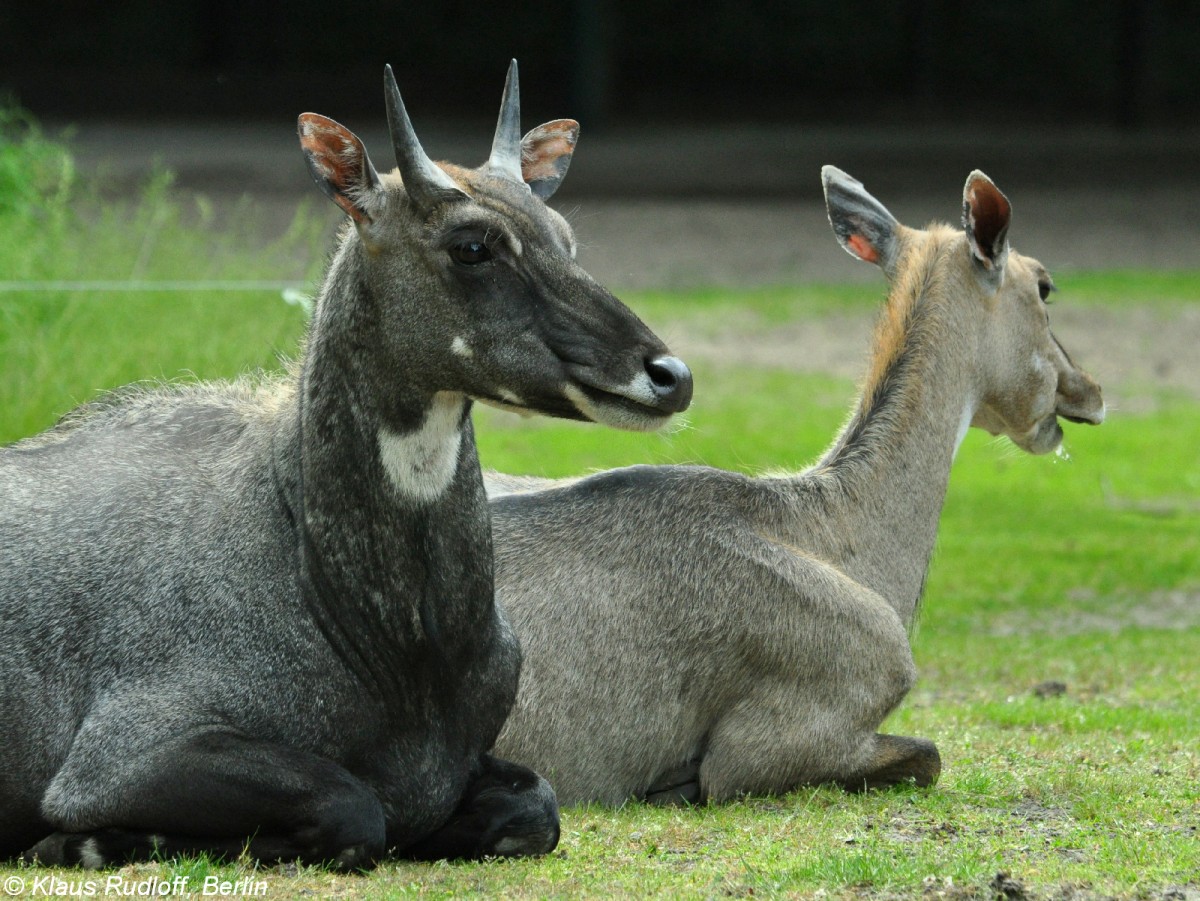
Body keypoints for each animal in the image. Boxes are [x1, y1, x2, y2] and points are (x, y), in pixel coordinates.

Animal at [0, 61, 696, 868]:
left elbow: (536, 806)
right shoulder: (121, 755)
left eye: (564, 238)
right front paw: (81, 841)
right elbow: (354, 807)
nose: (669, 375)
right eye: (473, 246)